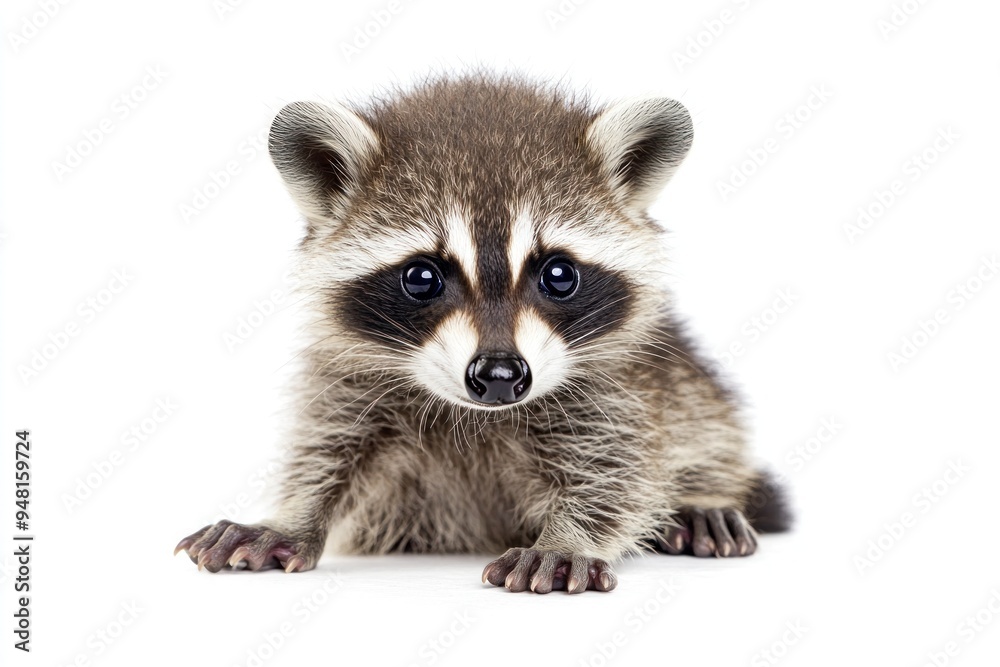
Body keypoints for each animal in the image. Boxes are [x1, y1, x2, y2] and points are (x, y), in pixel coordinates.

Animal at [175, 73, 790, 593]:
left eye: (559, 275)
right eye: (421, 277)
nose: (499, 375)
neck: (476, 417)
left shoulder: (616, 384)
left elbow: (619, 469)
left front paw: (569, 536)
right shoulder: (349, 378)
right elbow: (326, 446)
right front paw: (292, 516)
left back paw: (704, 497)